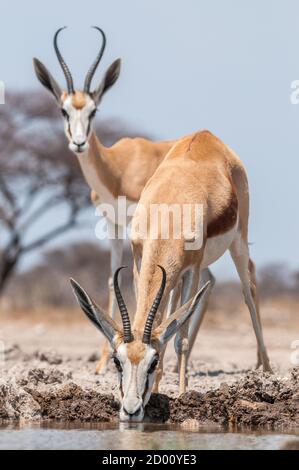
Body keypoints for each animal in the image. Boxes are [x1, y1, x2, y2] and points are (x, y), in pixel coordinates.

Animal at [71, 129, 274, 422]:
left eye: (152, 362)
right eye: (117, 361)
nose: (131, 410)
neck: (168, 213)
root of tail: (206, 135)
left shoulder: (193, 268)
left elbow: (181, 339)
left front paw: (181, 393)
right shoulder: (139, 262)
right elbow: (160, 322)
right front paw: (157, 389)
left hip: (238, 240)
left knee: (249, 290)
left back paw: (266, 368)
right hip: (175, 275)